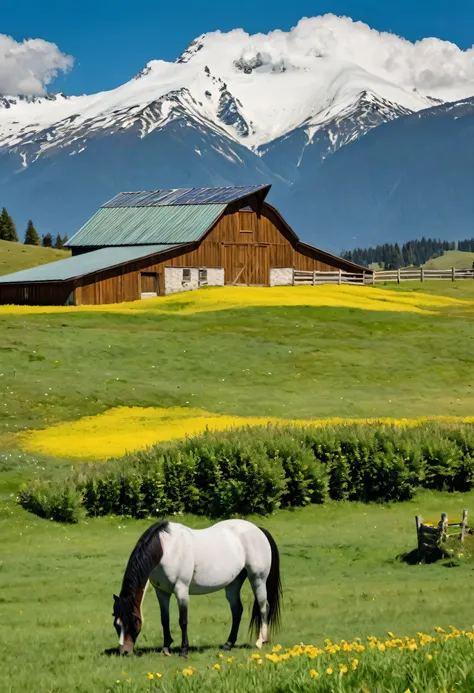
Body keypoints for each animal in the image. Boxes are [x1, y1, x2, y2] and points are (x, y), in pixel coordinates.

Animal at [112, 520, 282, 656]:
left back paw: (261, 641)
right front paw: (166, 648)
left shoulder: (181, 590)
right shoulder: (162, 592)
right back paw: (228, 644)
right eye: (116, 624)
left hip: (258, 579)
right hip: (233, 584)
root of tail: (258, 529)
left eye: (133, 621)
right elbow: (164, 619)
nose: (124, 652)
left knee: (263, 607)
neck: (167, 549)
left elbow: (183, 621)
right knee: (237, 611)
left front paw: (183, 651)